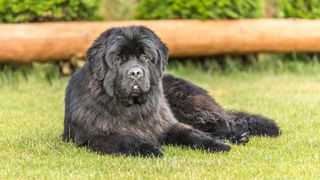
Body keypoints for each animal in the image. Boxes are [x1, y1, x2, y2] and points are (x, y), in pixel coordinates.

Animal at [63, 26, 280, 157]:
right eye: (118, 58)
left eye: (144, 56)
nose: (135, 73)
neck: (132, 109)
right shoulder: (96, 136)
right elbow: (125, 139)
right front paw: (149, 149)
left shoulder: (168, 124)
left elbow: (190, 134)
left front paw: (216, 145)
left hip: (188, 103)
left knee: (222, 120)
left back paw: (235, 136)